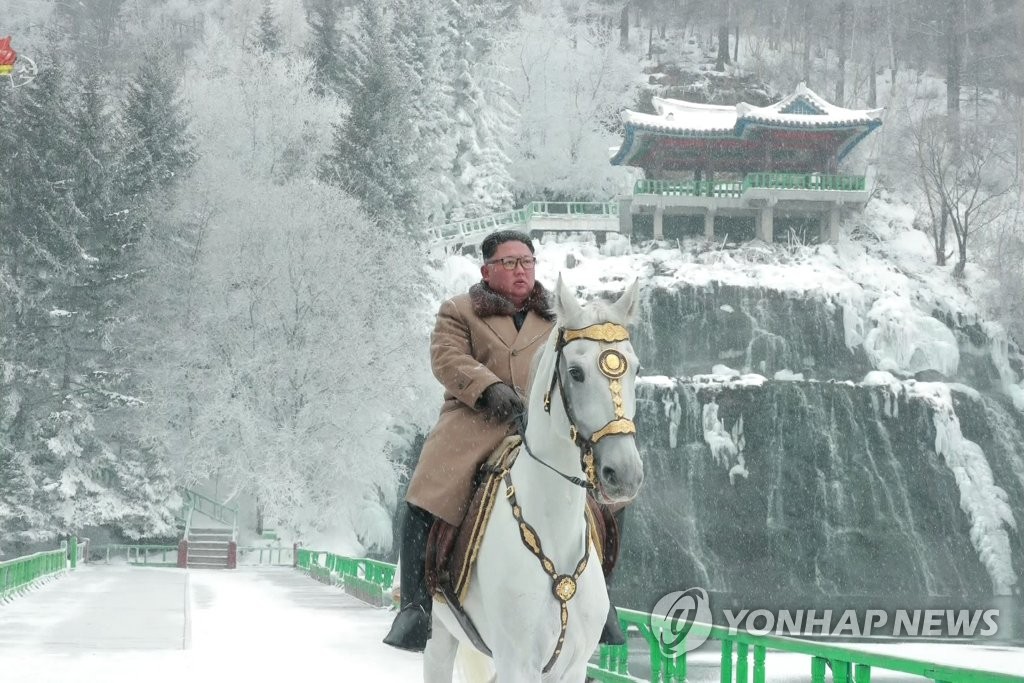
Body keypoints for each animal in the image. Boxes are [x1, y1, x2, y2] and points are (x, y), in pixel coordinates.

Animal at [428, 276, 643, 683]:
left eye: (635, 369)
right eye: (575, 373)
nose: (624, 473)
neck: (554, 537)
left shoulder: (571, 666)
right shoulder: (517, 662)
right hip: (440, 634)